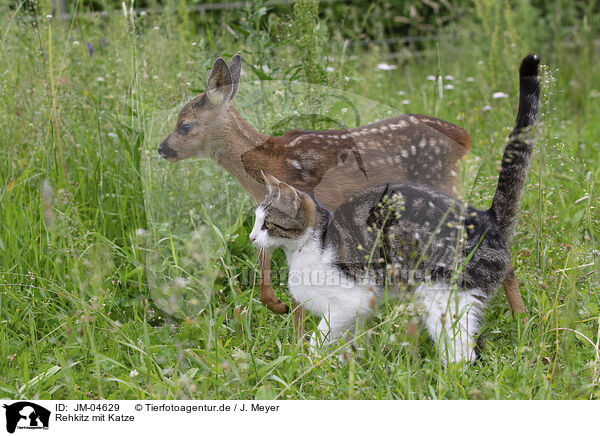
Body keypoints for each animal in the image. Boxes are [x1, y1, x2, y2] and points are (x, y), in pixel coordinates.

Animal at [250, 55, 544, 364]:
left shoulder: (350, 302)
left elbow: (319, 338)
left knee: (463, 353)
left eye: (267, 224)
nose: (252, 238)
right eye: (255, 221)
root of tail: (487, 219)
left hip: (443, 299)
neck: (304, 249)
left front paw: (311, 362)